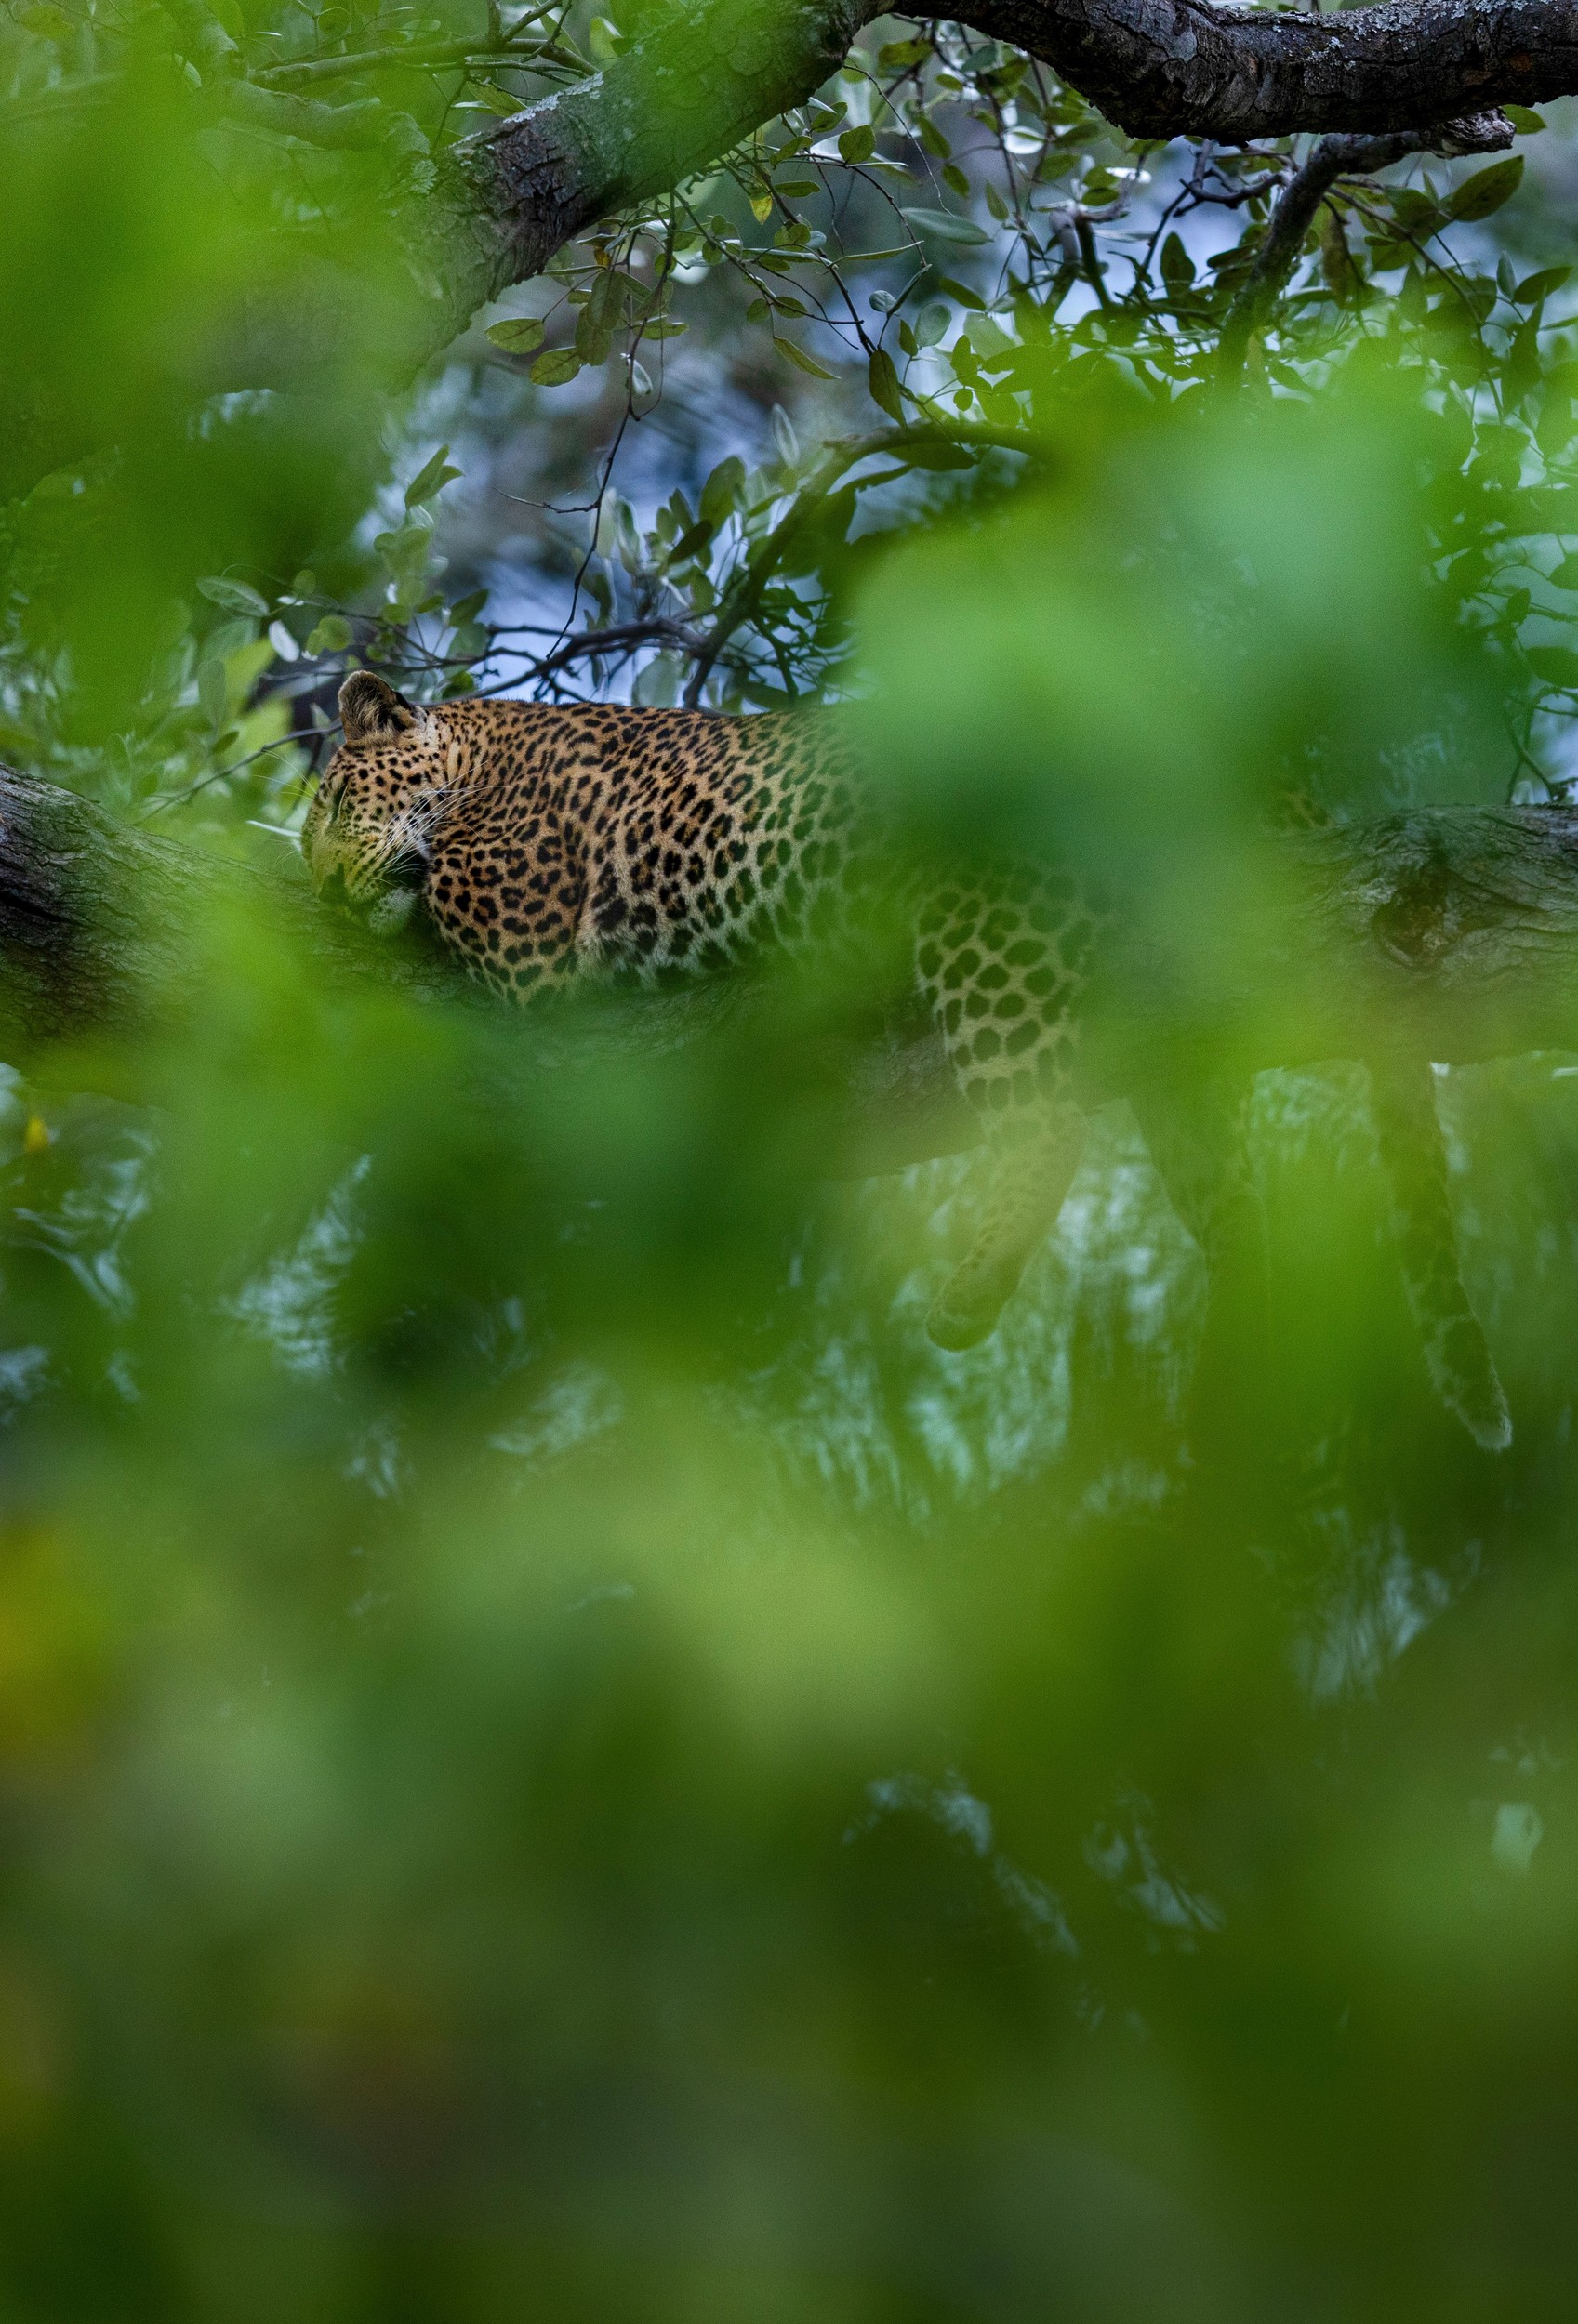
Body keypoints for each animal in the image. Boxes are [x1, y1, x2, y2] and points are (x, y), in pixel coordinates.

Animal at [304, 671, 1511, 1450]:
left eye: (332, 802)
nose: (319, 887)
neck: (476, 743)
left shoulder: (529, 949)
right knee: (1227, 1190)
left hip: (990, 936)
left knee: (1045, 1122)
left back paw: (972, 1288)